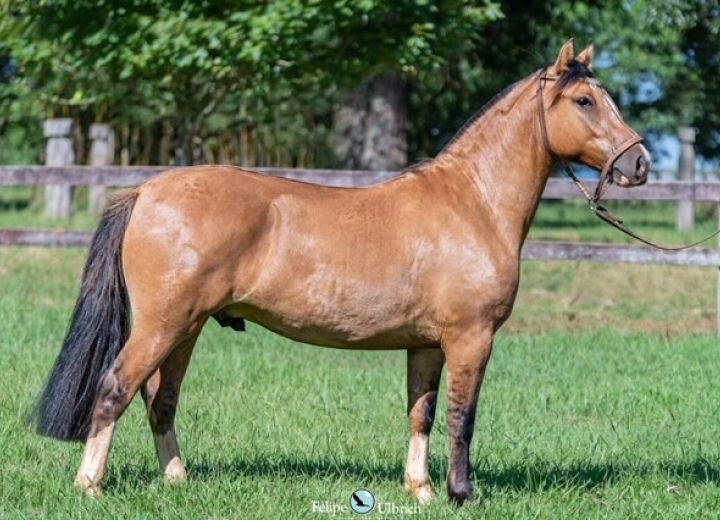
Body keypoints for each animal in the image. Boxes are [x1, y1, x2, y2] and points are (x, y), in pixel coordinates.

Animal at [28, 40, 648, 504]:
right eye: (585, 100)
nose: (639, 163)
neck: (471, 203)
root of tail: (145, 190)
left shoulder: (426, 344)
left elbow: (421, 413)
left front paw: (421, 490)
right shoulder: (470, 338)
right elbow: (461, 416)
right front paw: (461, 493)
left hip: (187, 326)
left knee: (160, 399)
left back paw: (178, 481)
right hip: (162, 324)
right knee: (116, 387)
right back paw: (90, 486)